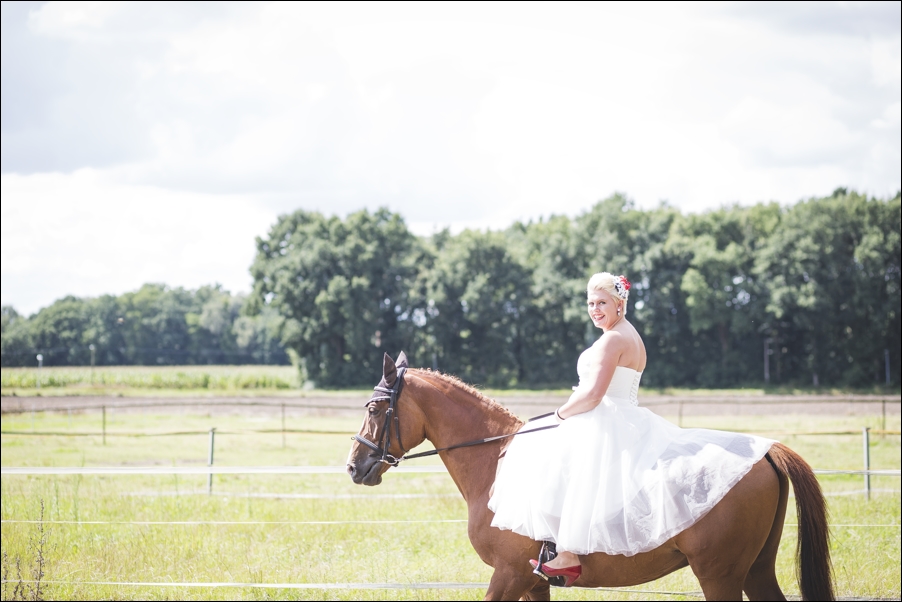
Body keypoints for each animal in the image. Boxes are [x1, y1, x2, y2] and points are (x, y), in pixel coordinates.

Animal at [344, 352, 832, 600]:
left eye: (375, 408)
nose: (353, 466)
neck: (495, 462)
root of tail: (766, 452)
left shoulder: (508, 575)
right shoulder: (532, 582)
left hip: (719, 575)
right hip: (755, 571)